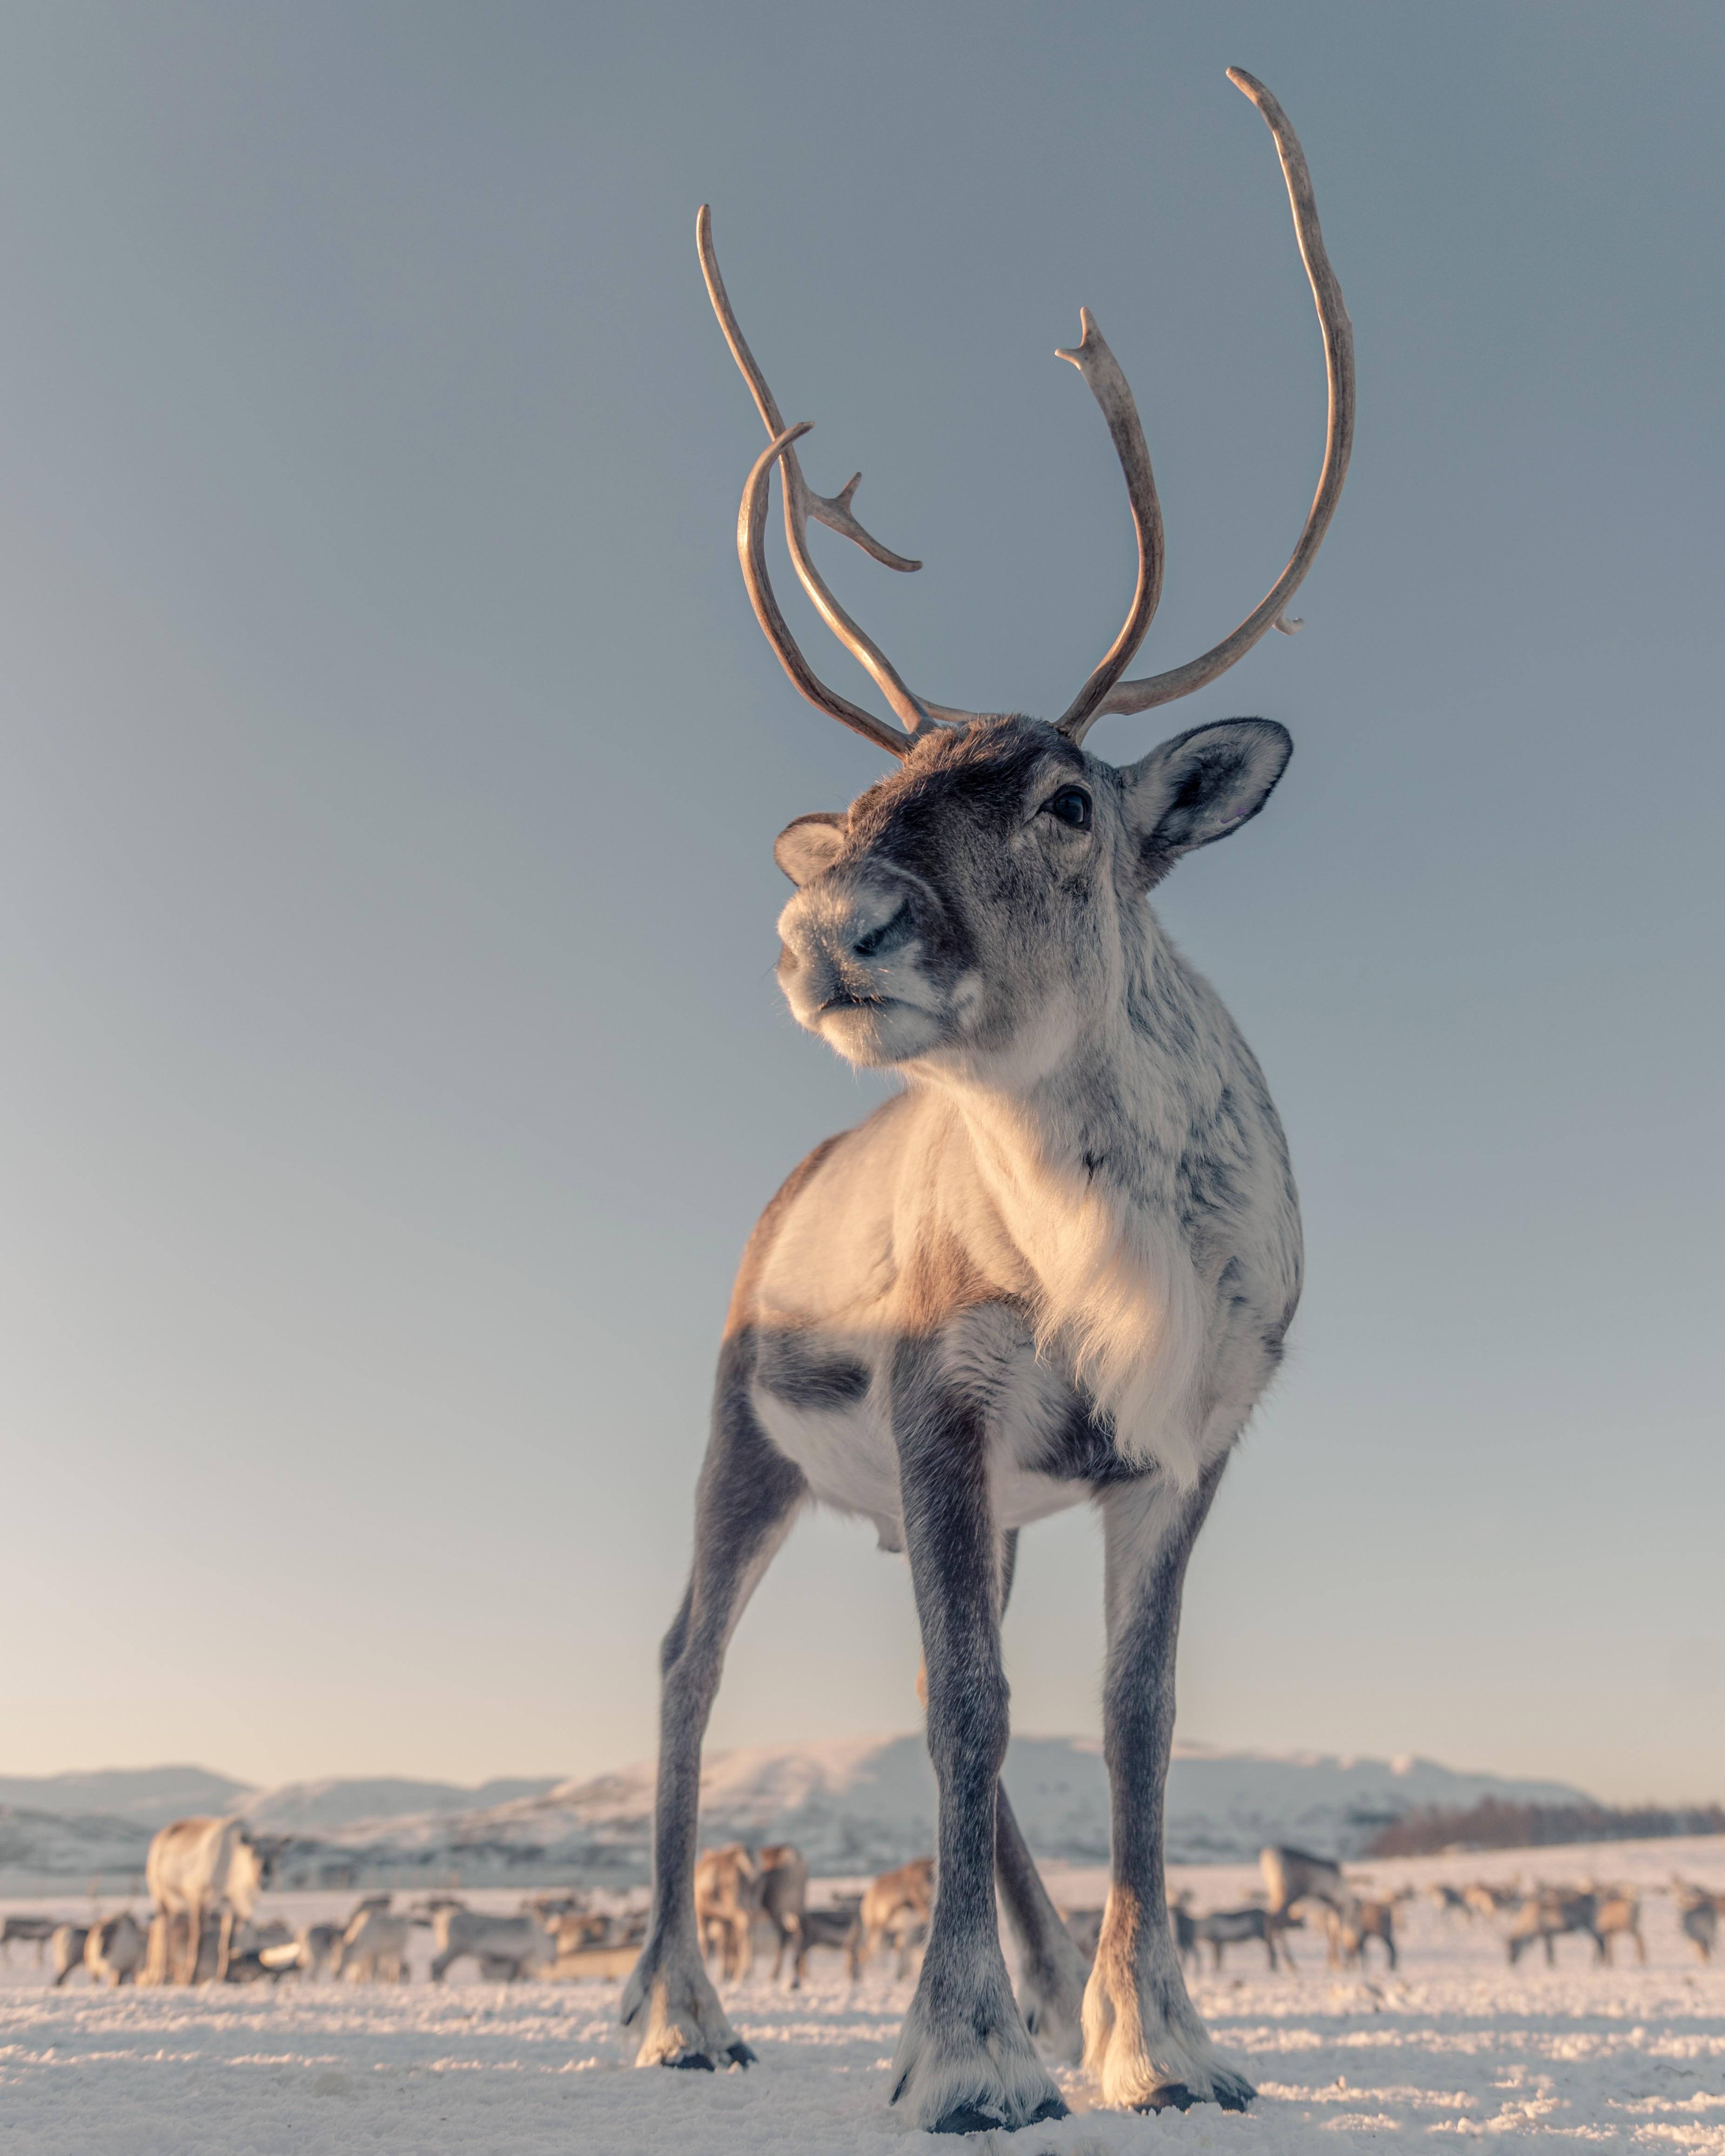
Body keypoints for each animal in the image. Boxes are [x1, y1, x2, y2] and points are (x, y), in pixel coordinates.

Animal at [618, 66, 1353, 2135]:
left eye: (1061, 796)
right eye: (872, 790)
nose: (832, 921)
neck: (1107, 1254)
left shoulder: (1181, 1441)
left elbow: (1121, 1721)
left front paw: (1155, 2040)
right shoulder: (936, 1400)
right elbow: (966, 1711)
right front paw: (959, 2056)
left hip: (977, 1500)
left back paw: (1031, 1988)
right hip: (748, 1439)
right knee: (685, 1665)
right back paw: (680, 2009)